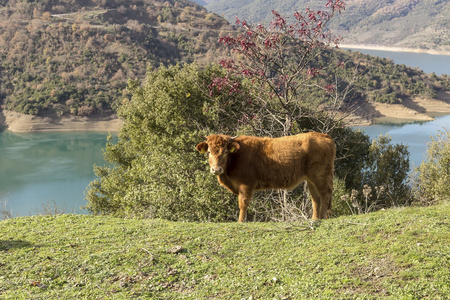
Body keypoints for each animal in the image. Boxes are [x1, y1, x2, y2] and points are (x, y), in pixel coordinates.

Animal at [195, 132, 336, 221]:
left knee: (325, 195)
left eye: (225, 152)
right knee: (316, 199)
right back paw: (315, 219)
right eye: (209, 152)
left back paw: (322, 218)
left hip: (321, 176)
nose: (216, 169)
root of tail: (325, 136)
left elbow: (243, 203)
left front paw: (241, 221)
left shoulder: (246, 185)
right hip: (311, 180)